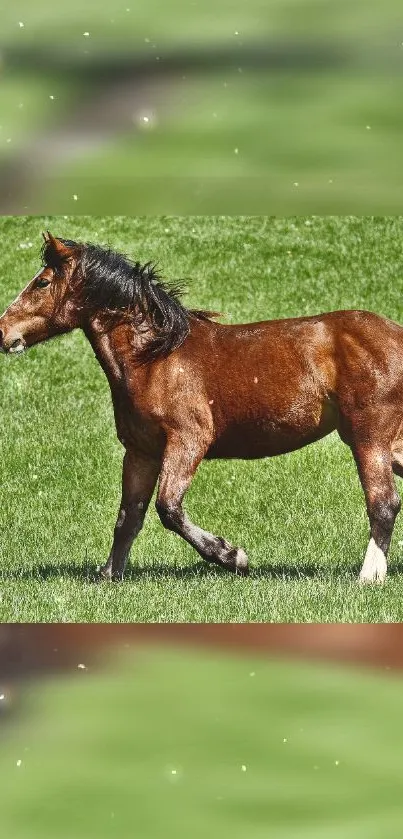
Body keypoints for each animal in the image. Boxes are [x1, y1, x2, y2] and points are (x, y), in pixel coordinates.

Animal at [0, 230, 403, 584]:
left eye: (42, 283)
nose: (4, 333)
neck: (156, 358)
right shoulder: (141, 452)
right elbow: (129, 516)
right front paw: (109, 575)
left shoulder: (188, 440)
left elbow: (168, 508)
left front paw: (232, 556)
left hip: (369, 439)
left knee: (383, 504)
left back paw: (369, 576)